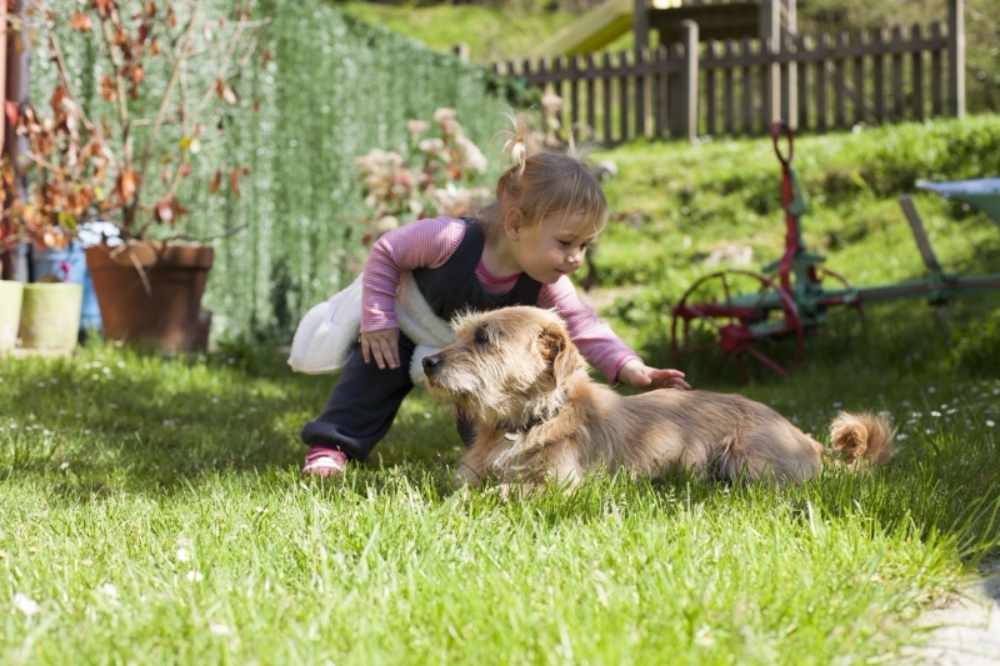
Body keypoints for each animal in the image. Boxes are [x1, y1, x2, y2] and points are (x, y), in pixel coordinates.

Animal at [420, 304, 892, 486]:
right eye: (461, 332)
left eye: (484, 338)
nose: (427, 362)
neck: (528, 423)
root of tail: (806, 439)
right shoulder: (468, 477)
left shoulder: (556, 485)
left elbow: (503, 494)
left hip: (750, 460)